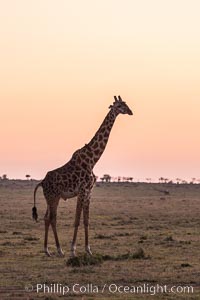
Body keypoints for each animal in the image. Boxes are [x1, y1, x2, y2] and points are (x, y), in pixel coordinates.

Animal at [32, 95, 133, 255]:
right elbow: (77, 220)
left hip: (52, 198)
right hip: (53, 197)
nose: (130, 111)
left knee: (47, 218)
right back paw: (59, 250)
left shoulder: (89, 192)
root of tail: (42, 182)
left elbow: (86, 220)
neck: (93, 159)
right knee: (52, 218)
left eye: (126, 104)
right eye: (119, 106)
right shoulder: (82, 191)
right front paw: (73, 249)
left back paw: (48, 250)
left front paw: (88, 249)